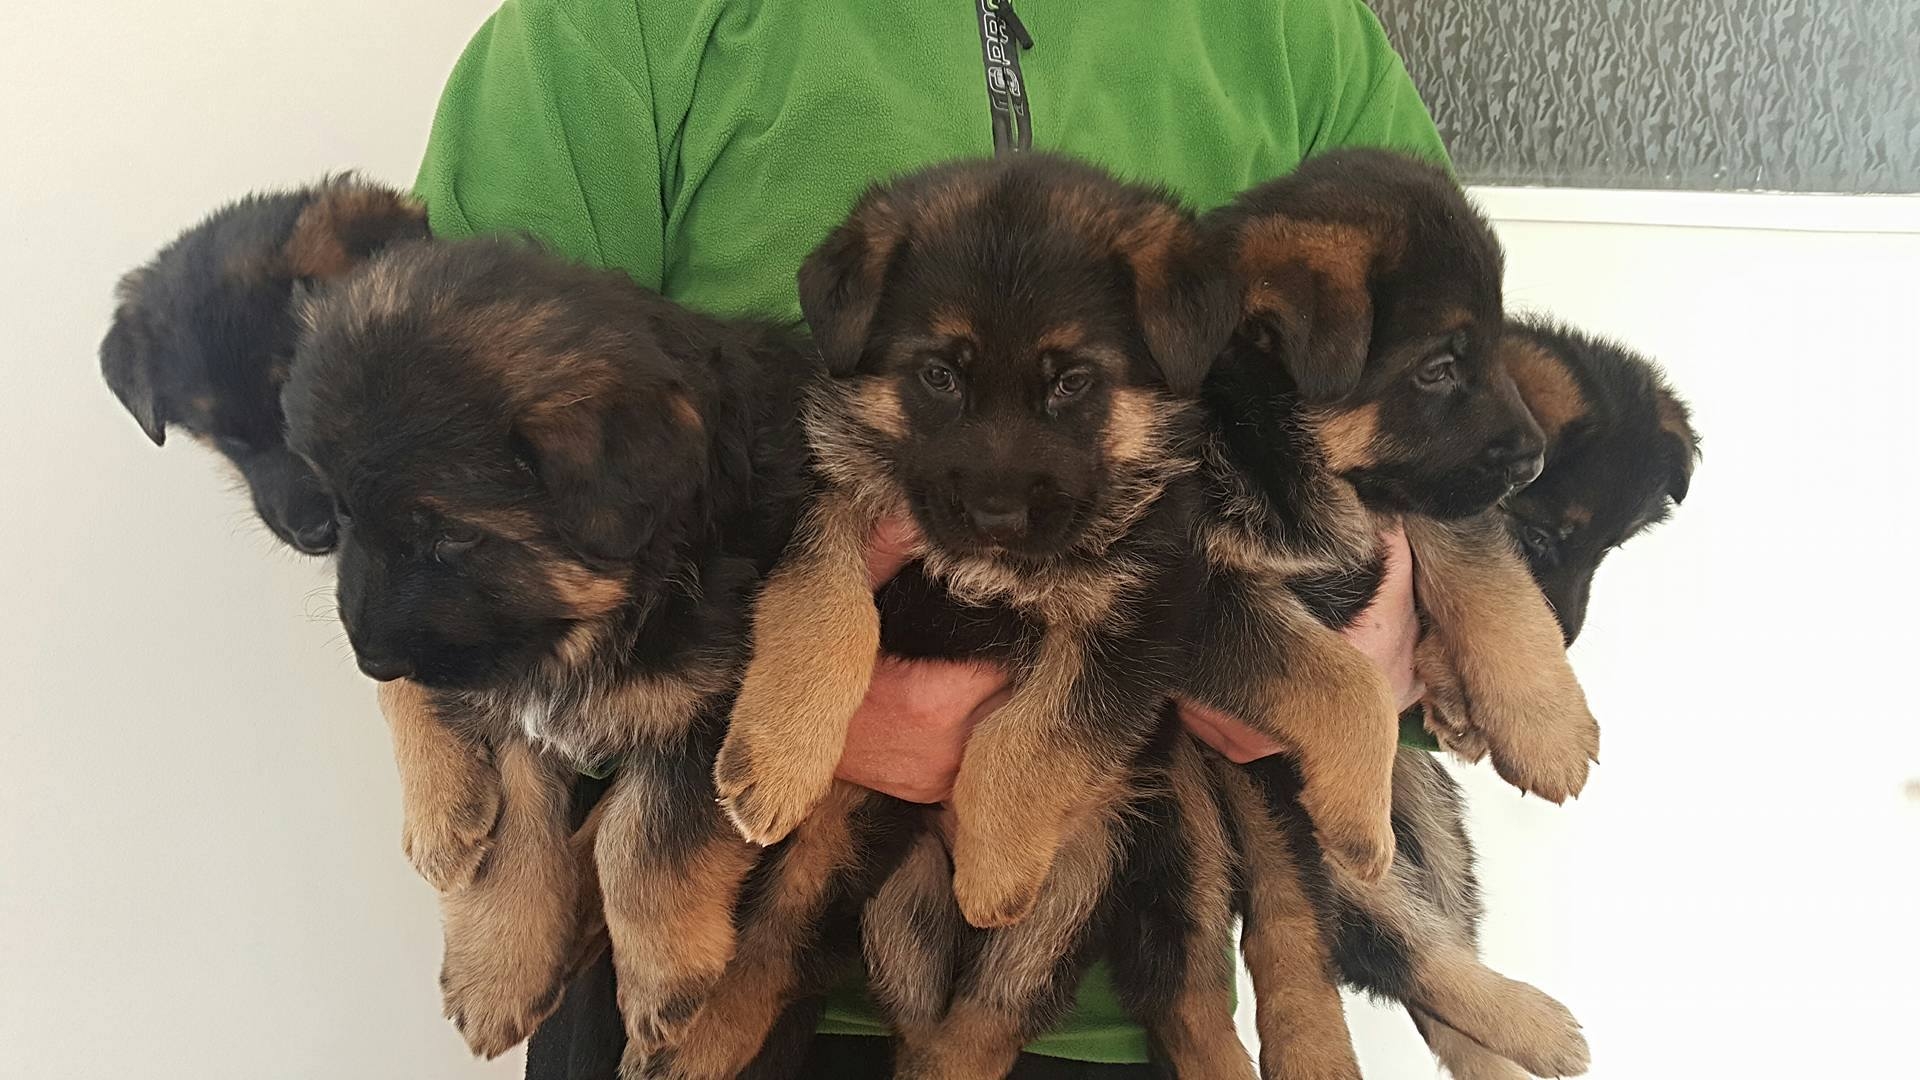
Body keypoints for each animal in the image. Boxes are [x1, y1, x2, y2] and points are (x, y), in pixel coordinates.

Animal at [283, 233, 910, 1076]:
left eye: (452, 536)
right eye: (342, 515)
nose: (378, 666)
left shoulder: (703, 711)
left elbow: (643, 844)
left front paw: (663, 982)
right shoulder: (510, 709)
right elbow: (514, 844)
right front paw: (498, 975)